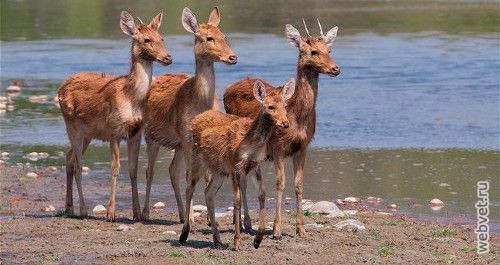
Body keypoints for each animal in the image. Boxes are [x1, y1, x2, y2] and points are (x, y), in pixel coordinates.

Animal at [57, 10, 171, 221]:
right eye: (146, 40)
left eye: (162, 38)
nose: (168, 57)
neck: (132, 98)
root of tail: (60, 88)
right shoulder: (114, 130)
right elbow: (115, 168)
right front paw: (111, 213)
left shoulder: (135, 133)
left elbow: (133, 170)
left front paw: (137, 214)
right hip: (72, 126)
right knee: (77, 165)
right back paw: (83, 210)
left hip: (87, 134)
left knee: (69, 159)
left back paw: (69, 208)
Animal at [142, 6, 237, 221]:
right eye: (209, 38)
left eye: (224, 35)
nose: (232, 57)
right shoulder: (186, 137)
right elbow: (190, 175)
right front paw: (192, 217)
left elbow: (206, 175)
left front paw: (208, 218)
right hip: (152, 135)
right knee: (150, 171)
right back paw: (145, 213)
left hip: (177, 144)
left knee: (172, 170)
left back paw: (180, 213)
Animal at [180, 78, 294, 250]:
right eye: (270, 106)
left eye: (285, 105)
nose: (285, 123)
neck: (249, 143)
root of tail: (196, 119)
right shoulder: (235, 164)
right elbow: (237, 199)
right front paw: (237, 242)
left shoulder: (254, 165)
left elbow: (262, 193)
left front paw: (258, 239)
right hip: (195, 159)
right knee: (189, 189)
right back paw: (184, 234)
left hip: (219, 170)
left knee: (208, 192)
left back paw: (217, 239)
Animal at [223, 19, 340, 237]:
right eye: (313, 51)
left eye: (329, 49)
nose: (335, 68)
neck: (297, 117)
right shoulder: (278, 146)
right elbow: (280, 183)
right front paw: (277, 228)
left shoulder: (302, 147)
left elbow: (299, 184)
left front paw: (301, 229)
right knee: (242, 181)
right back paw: (245, 223)